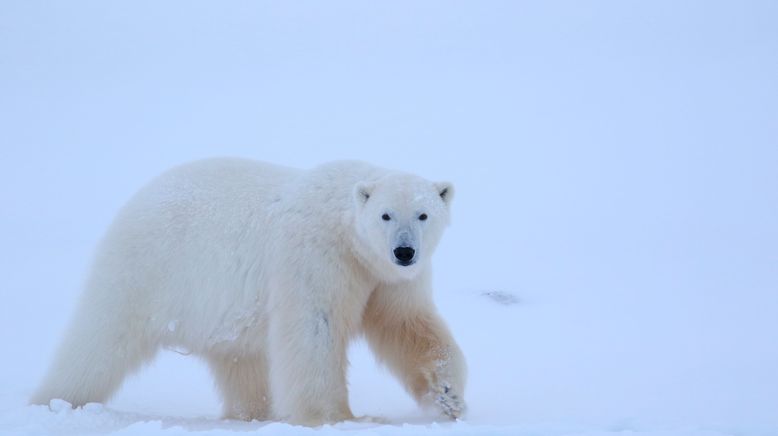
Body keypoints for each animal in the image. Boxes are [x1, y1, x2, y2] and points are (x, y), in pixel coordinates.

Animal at [30, 158, 464, 424]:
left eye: (423, 214)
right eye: (385, 215)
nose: (404, 251)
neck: (347, 232)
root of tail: (135, 200)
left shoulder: (386, 278)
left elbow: (407, 325)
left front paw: (447, 395)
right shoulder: (316, 256)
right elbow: (314, 328)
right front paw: (337, 417)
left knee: (241, 361)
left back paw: (252, 413)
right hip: (147, 269)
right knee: (98, 341)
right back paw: (55, 401)